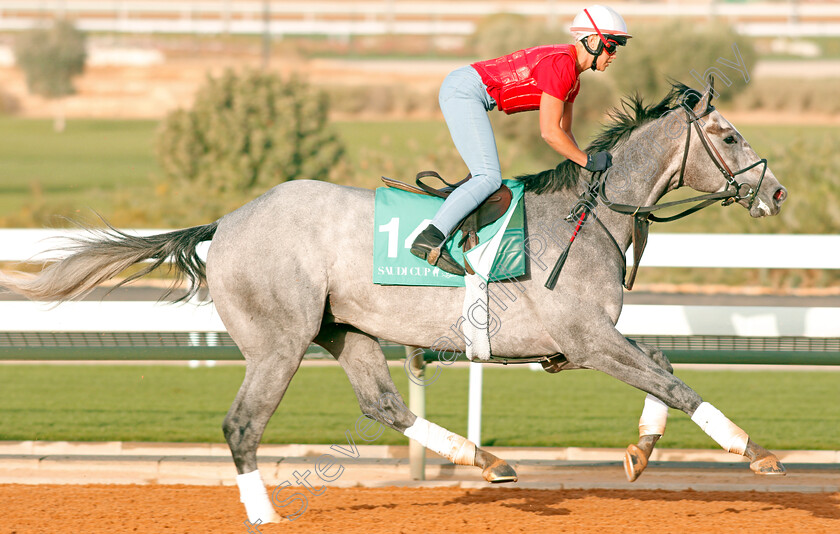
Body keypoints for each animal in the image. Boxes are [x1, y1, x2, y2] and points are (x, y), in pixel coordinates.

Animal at [0, 82, 788, 524]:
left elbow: (663, 366)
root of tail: (225, 222)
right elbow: (673, 380)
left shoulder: (587, 340)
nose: (776, 190)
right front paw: (753, 449)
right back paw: (264, 514)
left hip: (345, 329)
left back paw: (485, 460)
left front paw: (641, 451)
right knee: (242, 424)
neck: (588, 214)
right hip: (279, 340)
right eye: (728, 135)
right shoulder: (585, 338)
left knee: (381, 403)